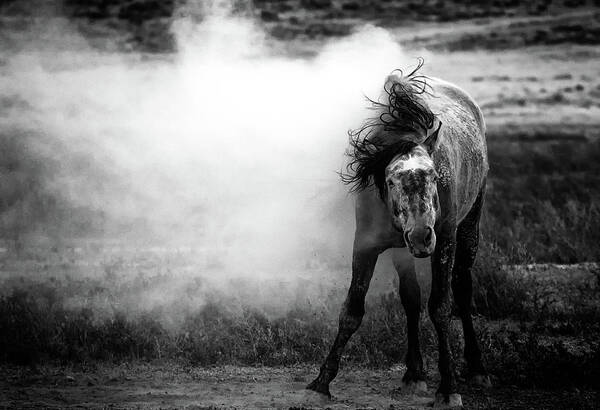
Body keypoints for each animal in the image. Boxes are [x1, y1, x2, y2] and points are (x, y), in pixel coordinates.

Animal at [308, 62, 490, 408]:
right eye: (391, 180)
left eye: (433, 176)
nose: (421, 237)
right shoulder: (365, 244)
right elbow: (353, 309)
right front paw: (322, 381)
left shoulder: (445, 241)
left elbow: (440, 307)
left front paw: (449, 387)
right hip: (402, 251)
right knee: (411, 298)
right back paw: (414, 373)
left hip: (469, 225)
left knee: (462, 287)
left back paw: (475, 368)